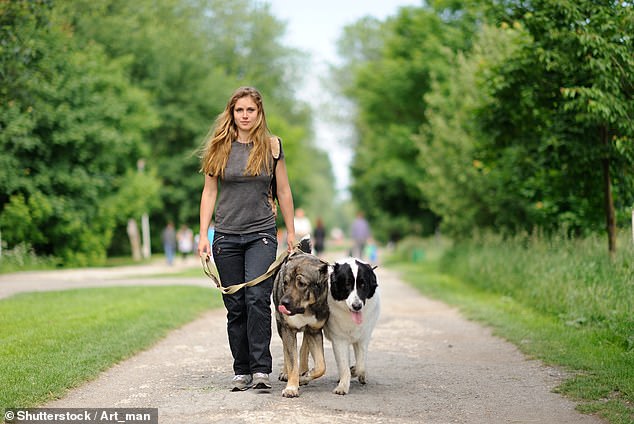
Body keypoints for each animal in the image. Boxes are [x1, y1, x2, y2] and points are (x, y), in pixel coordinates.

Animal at [272, 250, 328, 396]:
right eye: (285, 282)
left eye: (302, 283)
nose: (283, 303)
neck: (306, 309)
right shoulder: (288, 330)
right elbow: (291, 361)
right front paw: (291, 387)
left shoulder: (314, 331)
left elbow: (321, 366)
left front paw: (305, 376)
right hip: (281, 327)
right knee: (286, 350)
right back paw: (286, 373)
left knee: (304, 347)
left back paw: (303, 370)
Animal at [324, 256, 378, 396]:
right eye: (347, 284)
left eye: (363, 284)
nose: (357, 306)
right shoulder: (339, 340)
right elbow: (344, 366)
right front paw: (343, 386)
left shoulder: (363, 337)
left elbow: (361, 365)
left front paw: (354, 370)